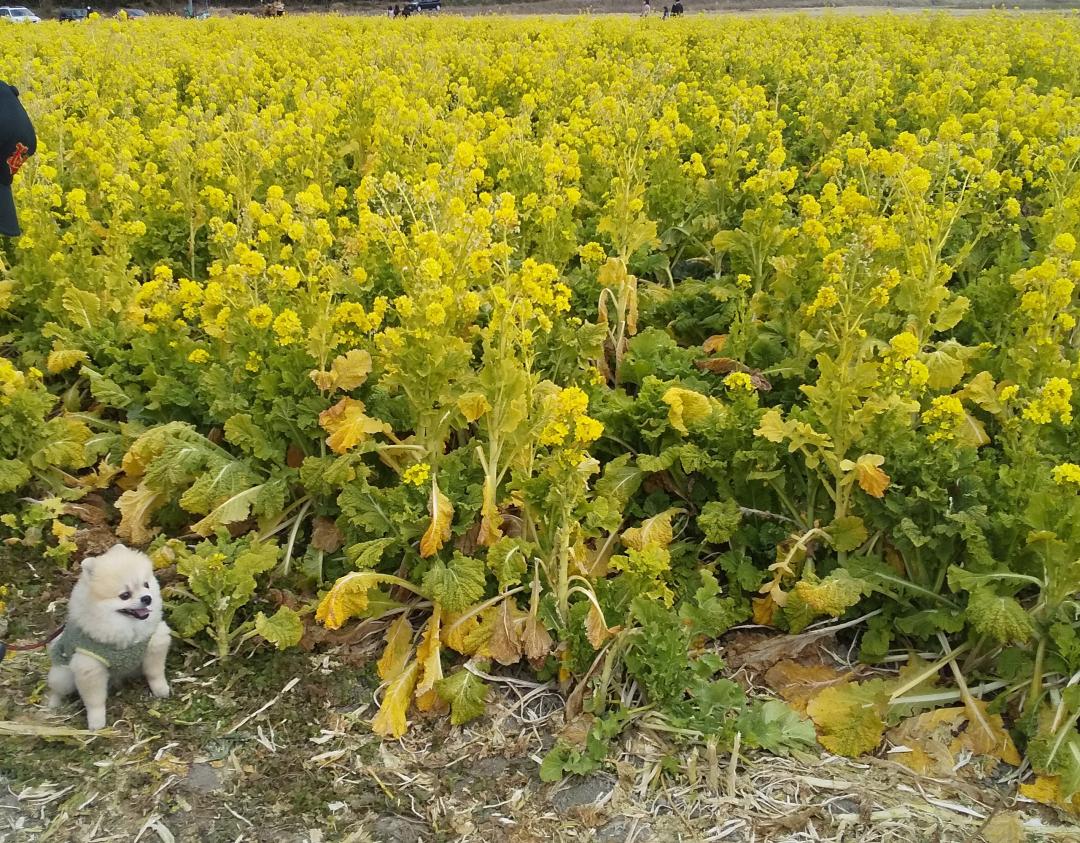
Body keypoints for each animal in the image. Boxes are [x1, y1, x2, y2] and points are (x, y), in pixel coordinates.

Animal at [47, 541, 170, 725]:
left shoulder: (155, 642)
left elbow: (155, 673)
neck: (128, 628)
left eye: (146, 585)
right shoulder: (89, 667)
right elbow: (94, 701)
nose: (147, 598)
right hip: (63, 675)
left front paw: (161, 689)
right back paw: (53, 703)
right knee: (57, 688)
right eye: (125, 595)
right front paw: (97, 722)